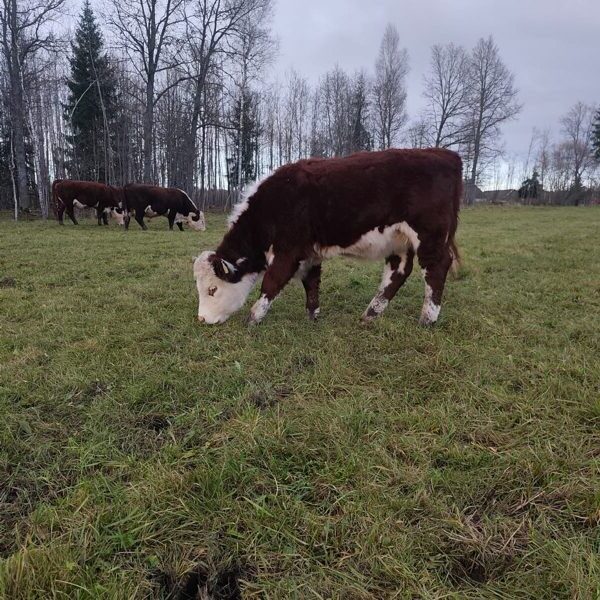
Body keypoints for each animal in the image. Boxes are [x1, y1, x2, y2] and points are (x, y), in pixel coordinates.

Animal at [193, 148, 462, 326]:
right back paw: (370, 315)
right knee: (398, 272)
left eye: (212, 289)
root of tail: (444, 154)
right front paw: (312, 315)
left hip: (429, 235)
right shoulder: (309, 253)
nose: (201, 318)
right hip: (397, 240)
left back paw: (427, 318)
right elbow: (311, 282)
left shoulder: (288, 251)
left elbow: (272, 281)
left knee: (436, 267)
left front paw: (253, 318)